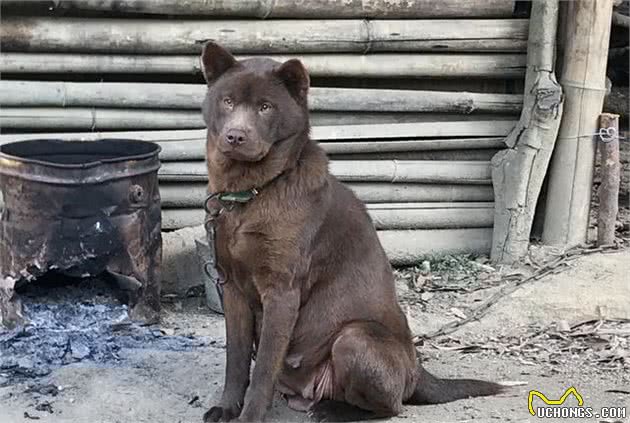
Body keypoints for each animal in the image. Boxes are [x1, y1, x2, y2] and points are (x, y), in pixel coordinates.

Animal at [200, 41, 506, 422]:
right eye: (227, 101)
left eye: (265, 107)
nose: (235, 136)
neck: (250, 194)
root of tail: (418, 370)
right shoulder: (232, 288)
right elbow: (237, 361)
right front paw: (227, 408)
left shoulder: (282, 292)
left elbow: (262, 370)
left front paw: (250, 417)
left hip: (354, 339)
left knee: (391, 406)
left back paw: (334, 412)